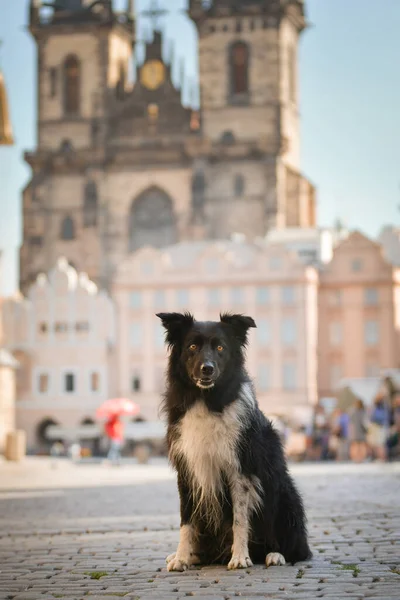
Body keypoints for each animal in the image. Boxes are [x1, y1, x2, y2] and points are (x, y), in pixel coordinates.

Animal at [158, 312, 310, 568]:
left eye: (220, 347)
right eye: (192, 347)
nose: (207, 369)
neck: (206, 400)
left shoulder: (240, 470)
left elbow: (240, 519)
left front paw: (239, 557)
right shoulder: (187, 469)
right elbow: (186, 520)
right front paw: (181, 557)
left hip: (285, 495)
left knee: (296, 548)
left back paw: (275, 554)